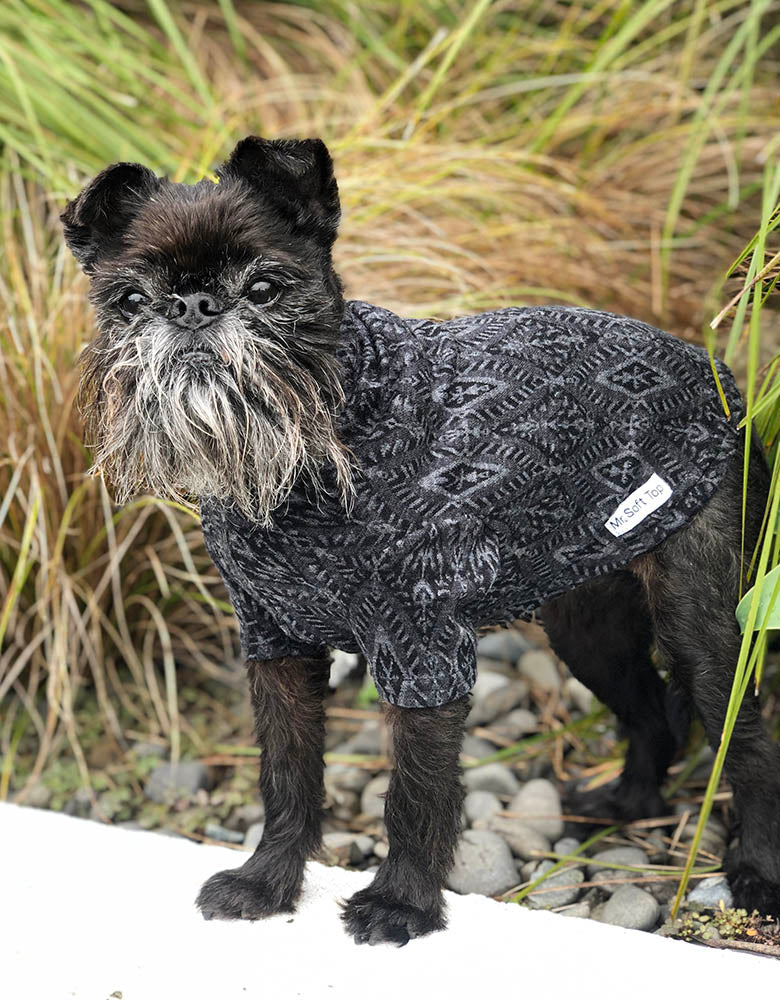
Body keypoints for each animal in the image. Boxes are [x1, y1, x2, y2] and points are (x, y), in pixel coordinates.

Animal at [61, 135, 780, 944]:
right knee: (652, 710)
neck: (328, 440)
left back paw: (755, 868)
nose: (191, 308)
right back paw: (628, 802)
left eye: (266, 288)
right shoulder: (275, 645)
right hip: (587, 624)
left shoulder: (422, 649)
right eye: (131, 301)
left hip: (699, 624)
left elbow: (416, 790)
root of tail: (720, 376)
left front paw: (401, 902)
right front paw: (268, 881)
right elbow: (286, 775)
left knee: (745, 739)